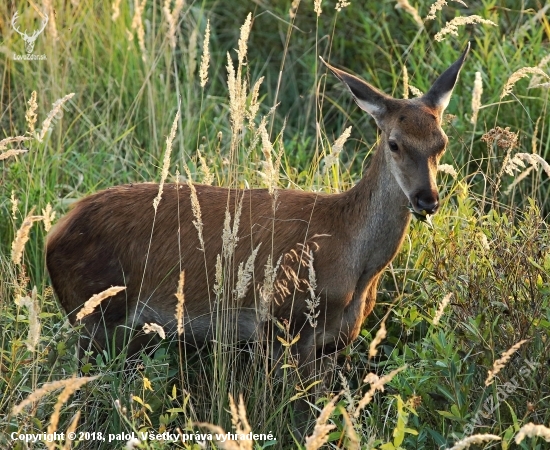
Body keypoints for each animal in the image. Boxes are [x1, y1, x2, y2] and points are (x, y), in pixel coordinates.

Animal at [46, 43, 470, 418]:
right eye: (394, 143)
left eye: (441, 143)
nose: (427, 199)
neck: (354, 261)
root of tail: (52, 237)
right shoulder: (284, 324)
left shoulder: (334, 344)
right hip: (94, 315)